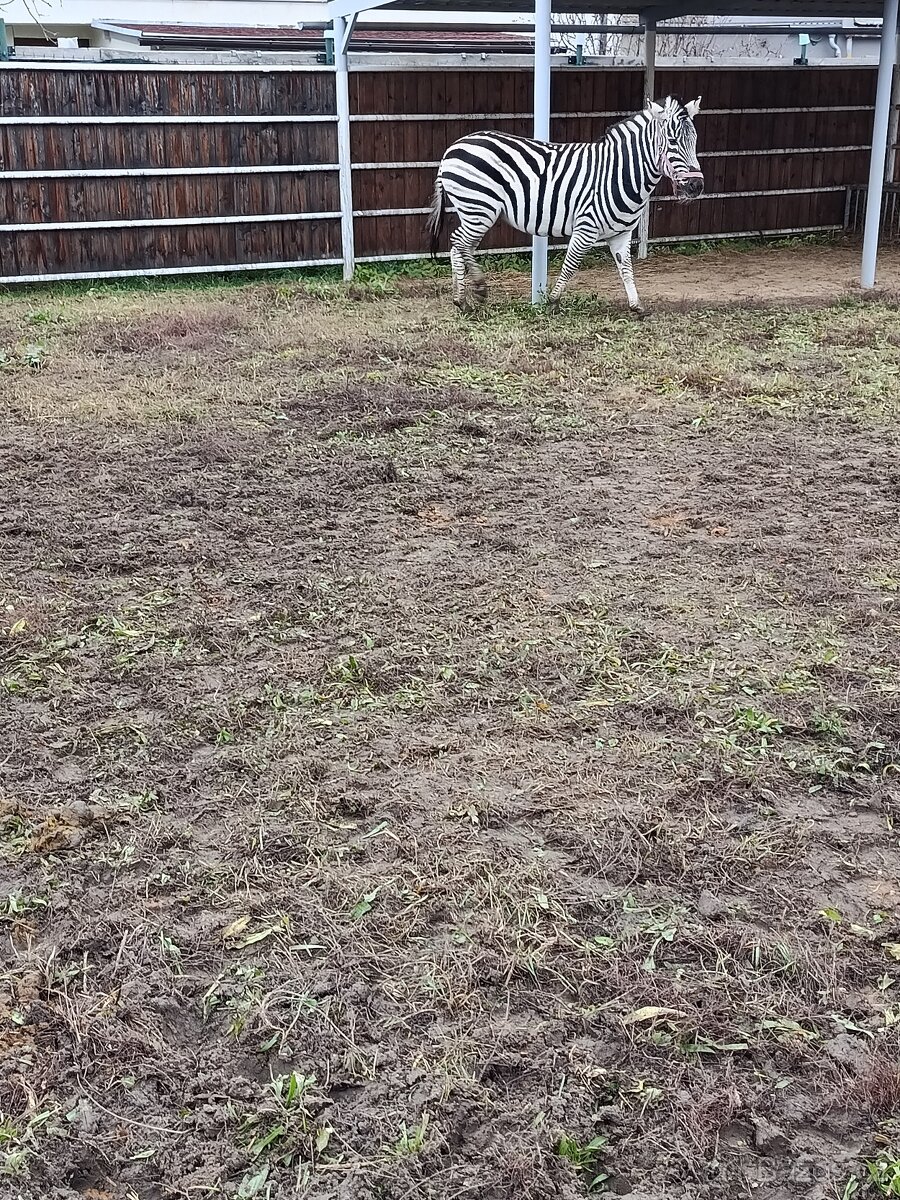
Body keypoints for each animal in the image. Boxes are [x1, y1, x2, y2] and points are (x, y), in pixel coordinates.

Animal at [427, 96, 703, 313]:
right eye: (673, 142)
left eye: (695, 140)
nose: (696, 186)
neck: (620, 173)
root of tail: (452, 148)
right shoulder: (586, 227)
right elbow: (571, 264)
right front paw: (553, 301)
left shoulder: (622, 234)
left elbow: (626, 268)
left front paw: (636, 306)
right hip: (479, 208)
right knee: (459, 242)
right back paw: (476, 291)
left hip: (475, 211)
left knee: (460, 247)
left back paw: (463, 298)